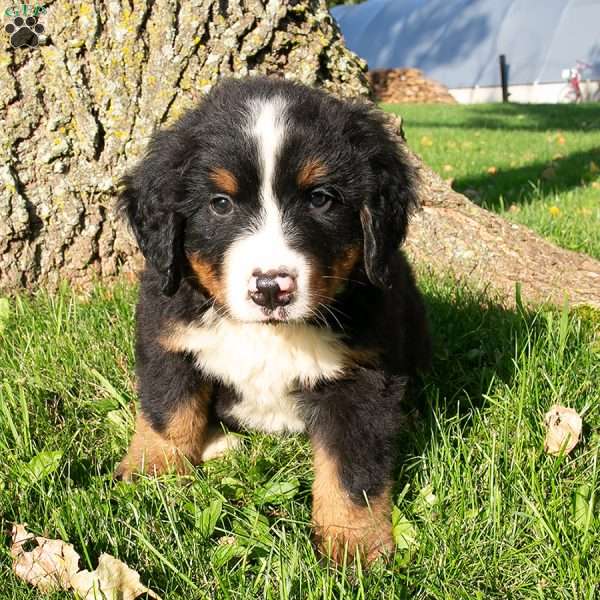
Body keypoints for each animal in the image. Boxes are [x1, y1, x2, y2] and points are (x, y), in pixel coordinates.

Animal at [115, 77, 432, 564]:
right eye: (220, 204)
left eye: (320, 199)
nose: (270, 288)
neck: (270, 335)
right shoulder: (167, 336)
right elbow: (168, 413)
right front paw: (153, 476)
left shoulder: (362, 376)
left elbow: (351, 470)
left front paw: (354, 544)